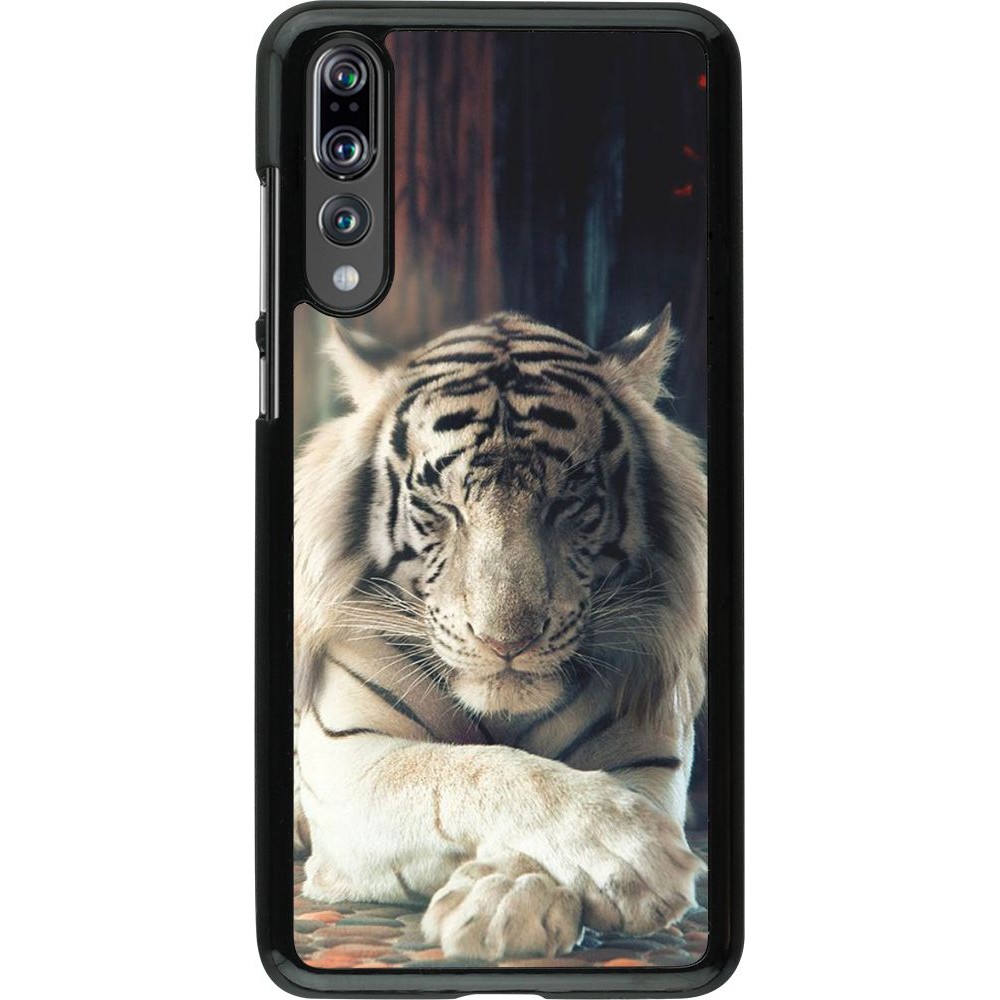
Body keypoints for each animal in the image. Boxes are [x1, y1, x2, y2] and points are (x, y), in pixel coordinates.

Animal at [294, 307, 707, 961]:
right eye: (440, 506)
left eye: (569, 502)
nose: (505, 642)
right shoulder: (349, 758)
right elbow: (471, 769)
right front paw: (628, 851)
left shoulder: (648, 757)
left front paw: (506, 900)